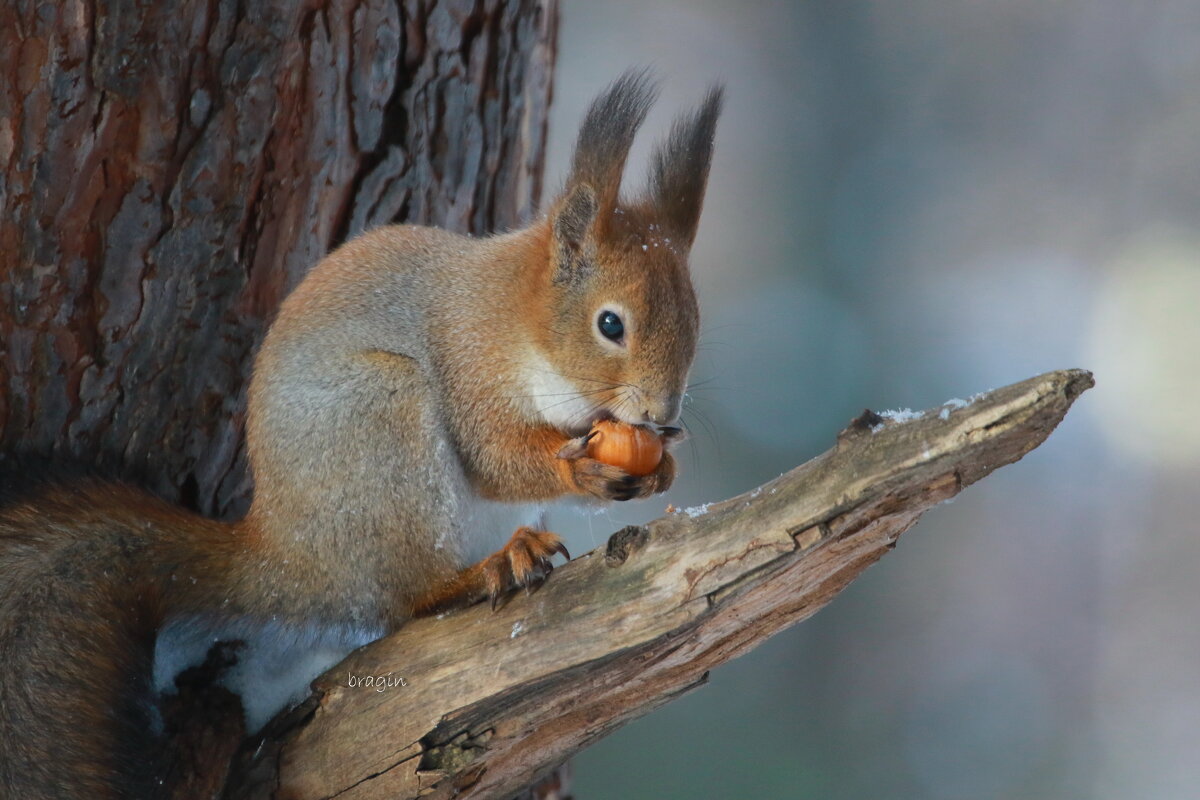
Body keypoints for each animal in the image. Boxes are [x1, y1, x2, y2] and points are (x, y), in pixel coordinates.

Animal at [0, 71, 720, 796]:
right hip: (382, 423)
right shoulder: (471, 364)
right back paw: (486, 570)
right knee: (404, 600)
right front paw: (581, 469)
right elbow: (493, 457)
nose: (661, 414)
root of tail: (284, 555)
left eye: (694, 318)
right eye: (610, 324)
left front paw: (662, 469)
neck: (524, 322)